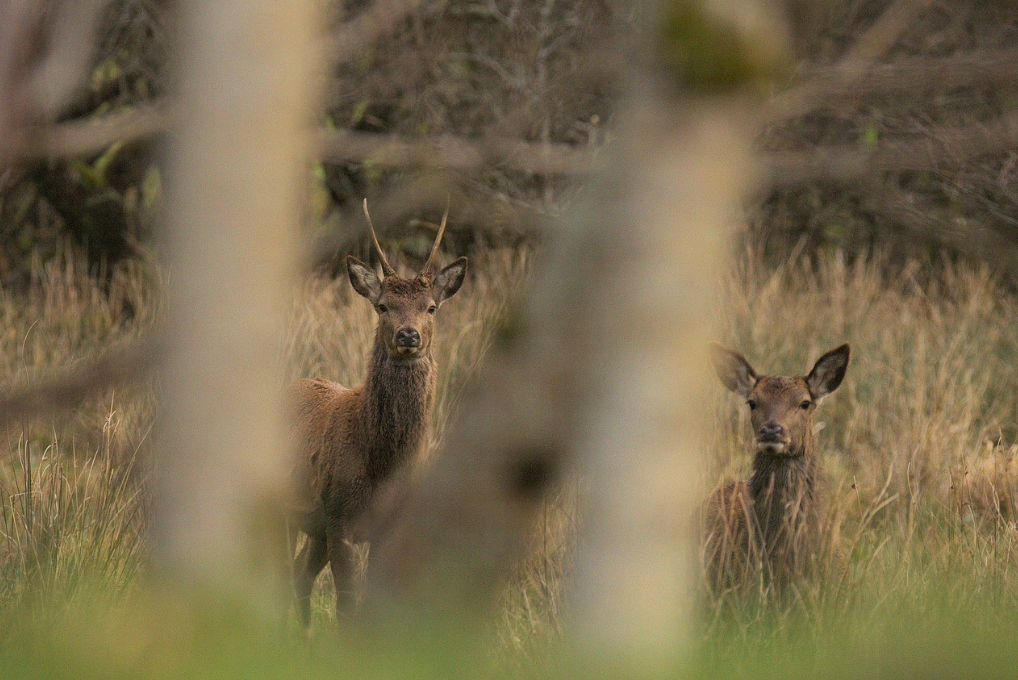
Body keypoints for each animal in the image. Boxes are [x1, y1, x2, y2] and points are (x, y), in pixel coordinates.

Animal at [289, 201, 466, 627]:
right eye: (383, 306)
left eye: (431, 307)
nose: (408, 334)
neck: (381, 465)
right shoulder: (340, 517)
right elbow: (347, 607)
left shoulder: (386, 525)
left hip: (315, 527)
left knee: (297, 576)